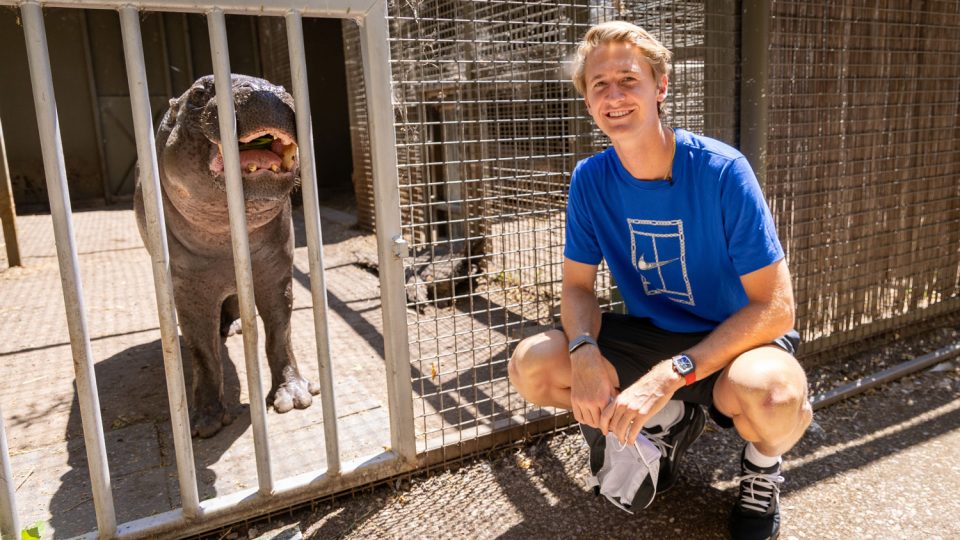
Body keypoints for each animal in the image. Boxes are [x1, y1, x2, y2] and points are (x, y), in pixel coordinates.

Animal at [133, 75, 320, 438]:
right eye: (197, 93)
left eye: (276, 85)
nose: (266, 92)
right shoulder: (189, 286)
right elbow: (203, 351)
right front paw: (205, 423)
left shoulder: (276, 270)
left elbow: (280, 332)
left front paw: (294, 399)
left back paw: (233, 327)